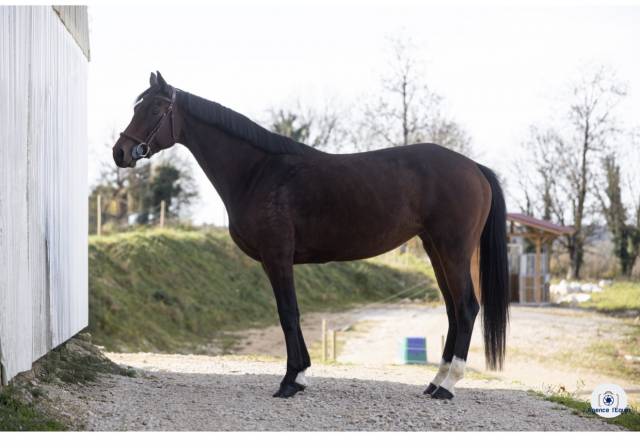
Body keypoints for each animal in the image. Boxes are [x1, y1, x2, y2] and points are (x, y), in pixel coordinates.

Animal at [113, 72, 509, 399]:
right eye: (136, 106)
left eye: (155, 108)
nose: (120, 152)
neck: (258, 171)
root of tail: (474, 167)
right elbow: (290, 313)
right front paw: (299, 376)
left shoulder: (277, 256)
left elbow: (288, 312)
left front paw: (292, 380)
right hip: (435, 249)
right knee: (453, 310)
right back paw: (434, 381)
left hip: (453, 249)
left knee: (466, 307)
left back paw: (447, 386)